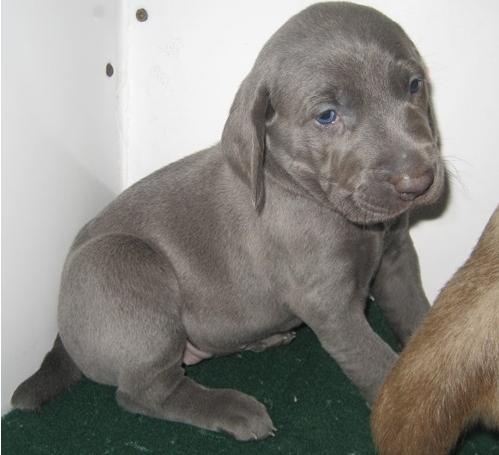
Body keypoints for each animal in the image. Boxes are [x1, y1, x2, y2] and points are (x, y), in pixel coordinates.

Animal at [10, 0, 446, 442]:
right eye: (327, 116)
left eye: (414, 85)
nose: (418, 181)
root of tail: (62, 332)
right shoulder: (330, 303)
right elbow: (374, 362)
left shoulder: (396, 258)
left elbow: (417, 313)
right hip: (123, 264)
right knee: (144, 393)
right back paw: (233, 409)